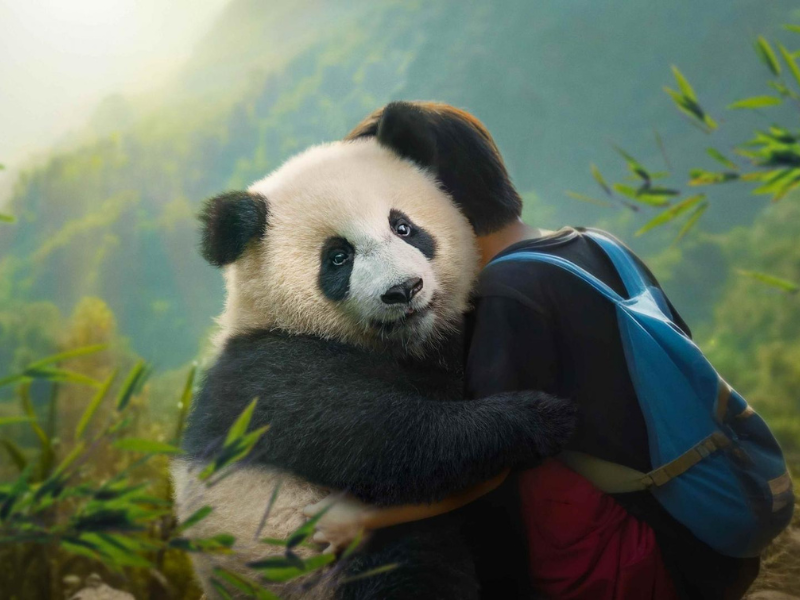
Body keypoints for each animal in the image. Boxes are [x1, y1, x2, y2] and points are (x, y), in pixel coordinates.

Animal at [172, 103, 576, 600]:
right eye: (338, 257)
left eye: (403, 227)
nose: (404, 290)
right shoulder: (271, 374)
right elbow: (385, 437)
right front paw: (540, 417)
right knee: (410, 566)